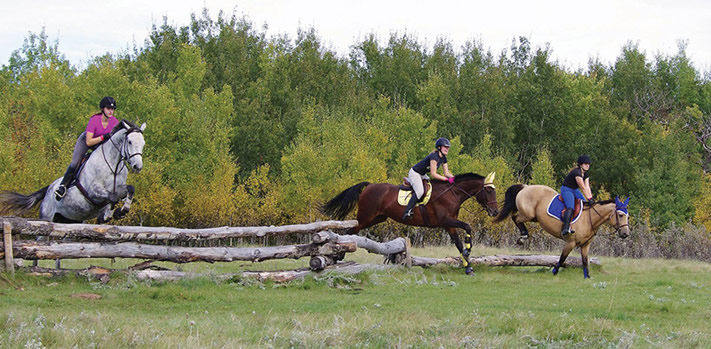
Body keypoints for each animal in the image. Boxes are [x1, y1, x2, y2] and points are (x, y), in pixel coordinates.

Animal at [322, 171, 500, 274]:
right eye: (489, 191)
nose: (495, 212)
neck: (452, 194)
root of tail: (370, 185)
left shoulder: (449, 225)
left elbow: (458, 244)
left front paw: (468, 265)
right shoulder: (445, 220)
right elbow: (467, 227)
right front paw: (469, 249)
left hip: (377, 218)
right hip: (366, 217)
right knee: (350, 231)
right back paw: (339, 254)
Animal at [492, 184, 632, 278]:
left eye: (628, 216)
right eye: (620, 215)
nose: (625, 234)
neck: (589, 218)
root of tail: (525, 187)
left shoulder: (585, 245)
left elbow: (585, 261)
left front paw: (587, 277)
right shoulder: (570, 243)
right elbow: (562, 258)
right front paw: (554, 272)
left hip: (534, 217)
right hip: (529, 214)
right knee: (515, 217)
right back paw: (523, 236)